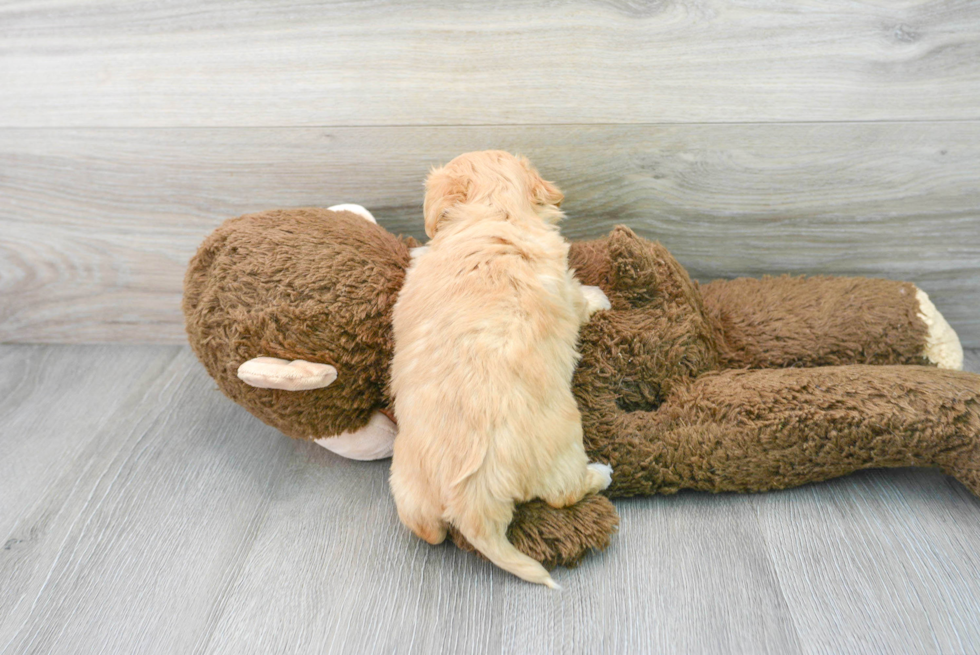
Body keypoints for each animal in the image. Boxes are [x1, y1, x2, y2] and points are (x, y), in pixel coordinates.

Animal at [392, 154, 612, 588]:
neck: (494, 213)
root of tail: (472, 503)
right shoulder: (564, 283)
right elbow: (581, 297)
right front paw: (601, 298)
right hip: (563, 448)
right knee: (567, 492)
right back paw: (603, 473)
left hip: (405, 487)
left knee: (430, 532)